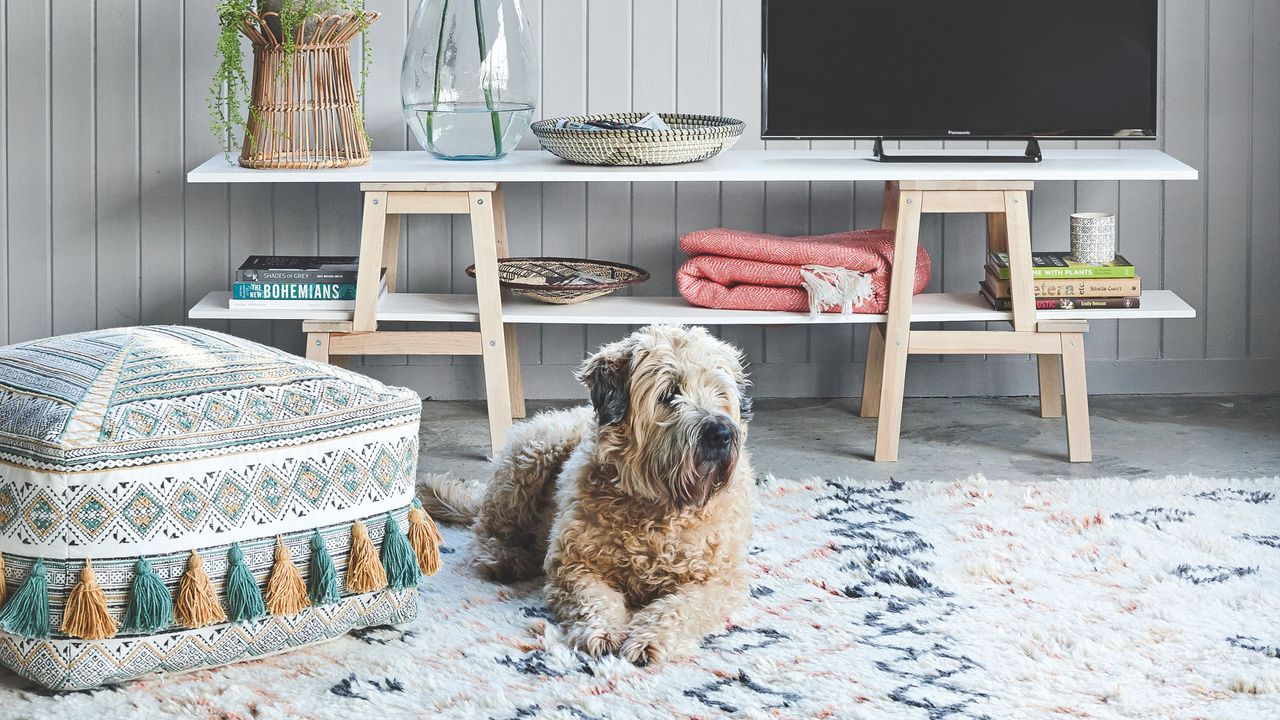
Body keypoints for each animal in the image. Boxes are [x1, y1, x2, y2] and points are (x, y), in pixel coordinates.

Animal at [424, 325, 752, 661]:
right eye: (669, 393)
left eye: (720, 392)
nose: (720, 434)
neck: (657, 508)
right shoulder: (576, 565)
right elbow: (595, 599)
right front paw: (602, 631)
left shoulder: (715, 580)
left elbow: (679, 609)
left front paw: (649, 639)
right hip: (531, 458)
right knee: (487, 530)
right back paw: (504, 558)